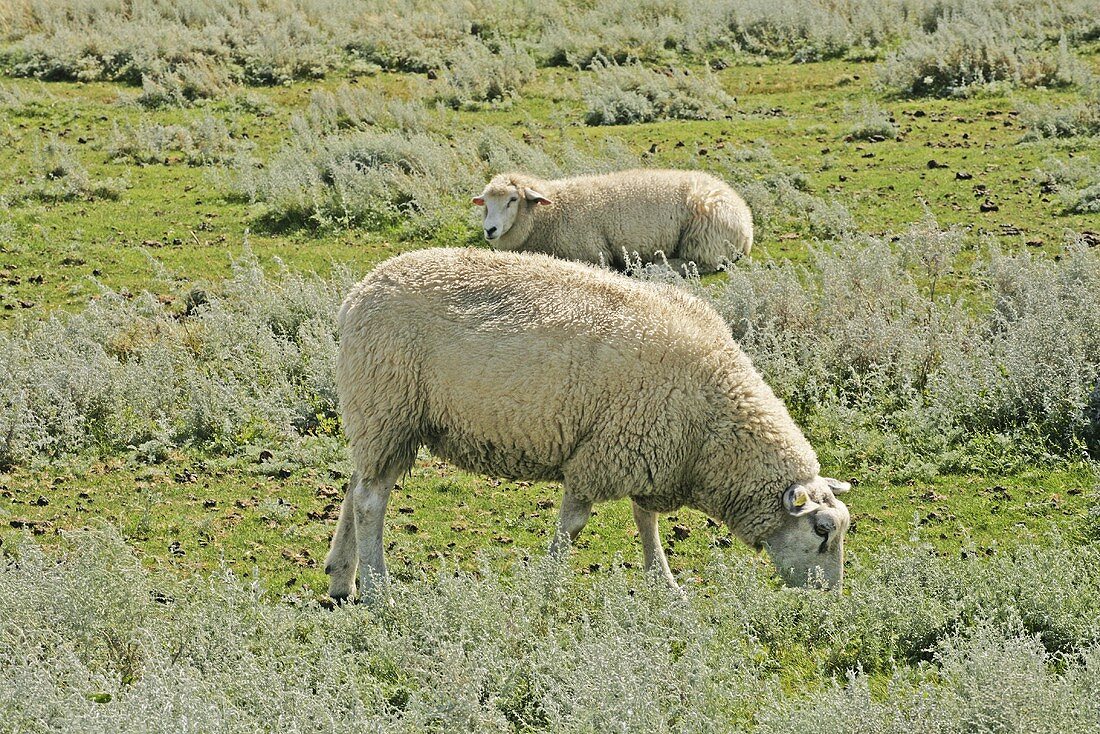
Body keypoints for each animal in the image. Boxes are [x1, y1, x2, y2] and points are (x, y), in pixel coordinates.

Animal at [321, 246, 844, 603]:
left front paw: (663, 581)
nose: (831, 597)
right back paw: (378, 588)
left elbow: (646, 519)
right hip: (389, 405)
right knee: (370, 501)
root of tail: (358, 295)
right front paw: (550, 579)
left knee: (357, 484)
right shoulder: (602, 454)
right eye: (821, 531)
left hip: (379, 416)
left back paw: (342, 576)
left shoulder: (647, 452)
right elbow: (574, 524)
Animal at [468, 169, 752, 275]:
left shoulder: (592, 254)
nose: (490, 230)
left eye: (512, 199)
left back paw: (652, 268)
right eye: (486, 203)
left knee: (697, 263)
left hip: (704, 240)